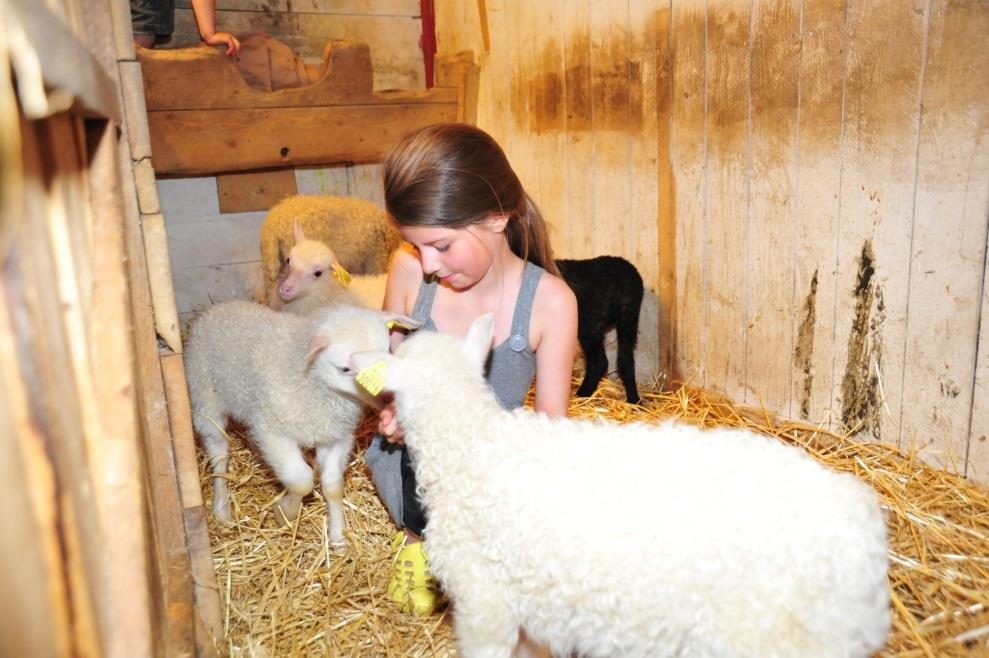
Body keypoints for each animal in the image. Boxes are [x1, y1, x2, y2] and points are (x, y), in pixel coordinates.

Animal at [184, 298, 416, 544]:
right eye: (345, 368)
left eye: (388, 352)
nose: (388, 397)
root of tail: (218, 307)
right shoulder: (274, 433)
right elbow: (301, 480)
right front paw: (285, 513)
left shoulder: (335, 437)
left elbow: (333, 485)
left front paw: (338, 537)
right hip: (205, 400)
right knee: (219, 455)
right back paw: (222, 509)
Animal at [552, 254, 644, 402]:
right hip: (629, 314)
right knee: (626, 358)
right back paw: (634, 400)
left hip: (590, 322)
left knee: (599, 362)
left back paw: (582, 394)